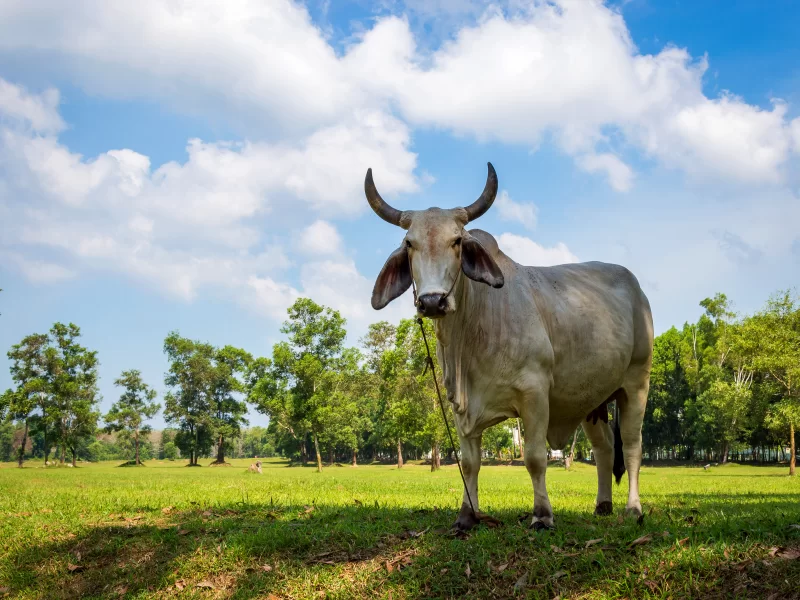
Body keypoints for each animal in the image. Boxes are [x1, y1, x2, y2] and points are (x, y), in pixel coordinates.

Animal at [365, 163, 653, 531]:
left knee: (631, 447)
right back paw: (602, 505)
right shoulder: (461, 408)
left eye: (457, 241)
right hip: (592, 400)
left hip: (636, 383)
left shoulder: (535, 394)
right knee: (604, 449)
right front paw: (466, 516)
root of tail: (636, 289)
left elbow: (534, 458)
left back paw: (633, 508)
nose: (432, 301)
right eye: (409, 243)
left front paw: (542, 515)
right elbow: (469, 463)